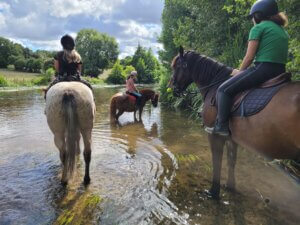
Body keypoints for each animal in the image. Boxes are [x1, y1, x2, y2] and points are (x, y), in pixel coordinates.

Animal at [170, 47, 300, 199]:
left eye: (176, 66)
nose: (172, 87)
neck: (214, 84)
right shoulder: (232, 138)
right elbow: (231, 161)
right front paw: (230, 186)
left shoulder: (214, 135)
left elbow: (217, 162)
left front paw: (213, 192)